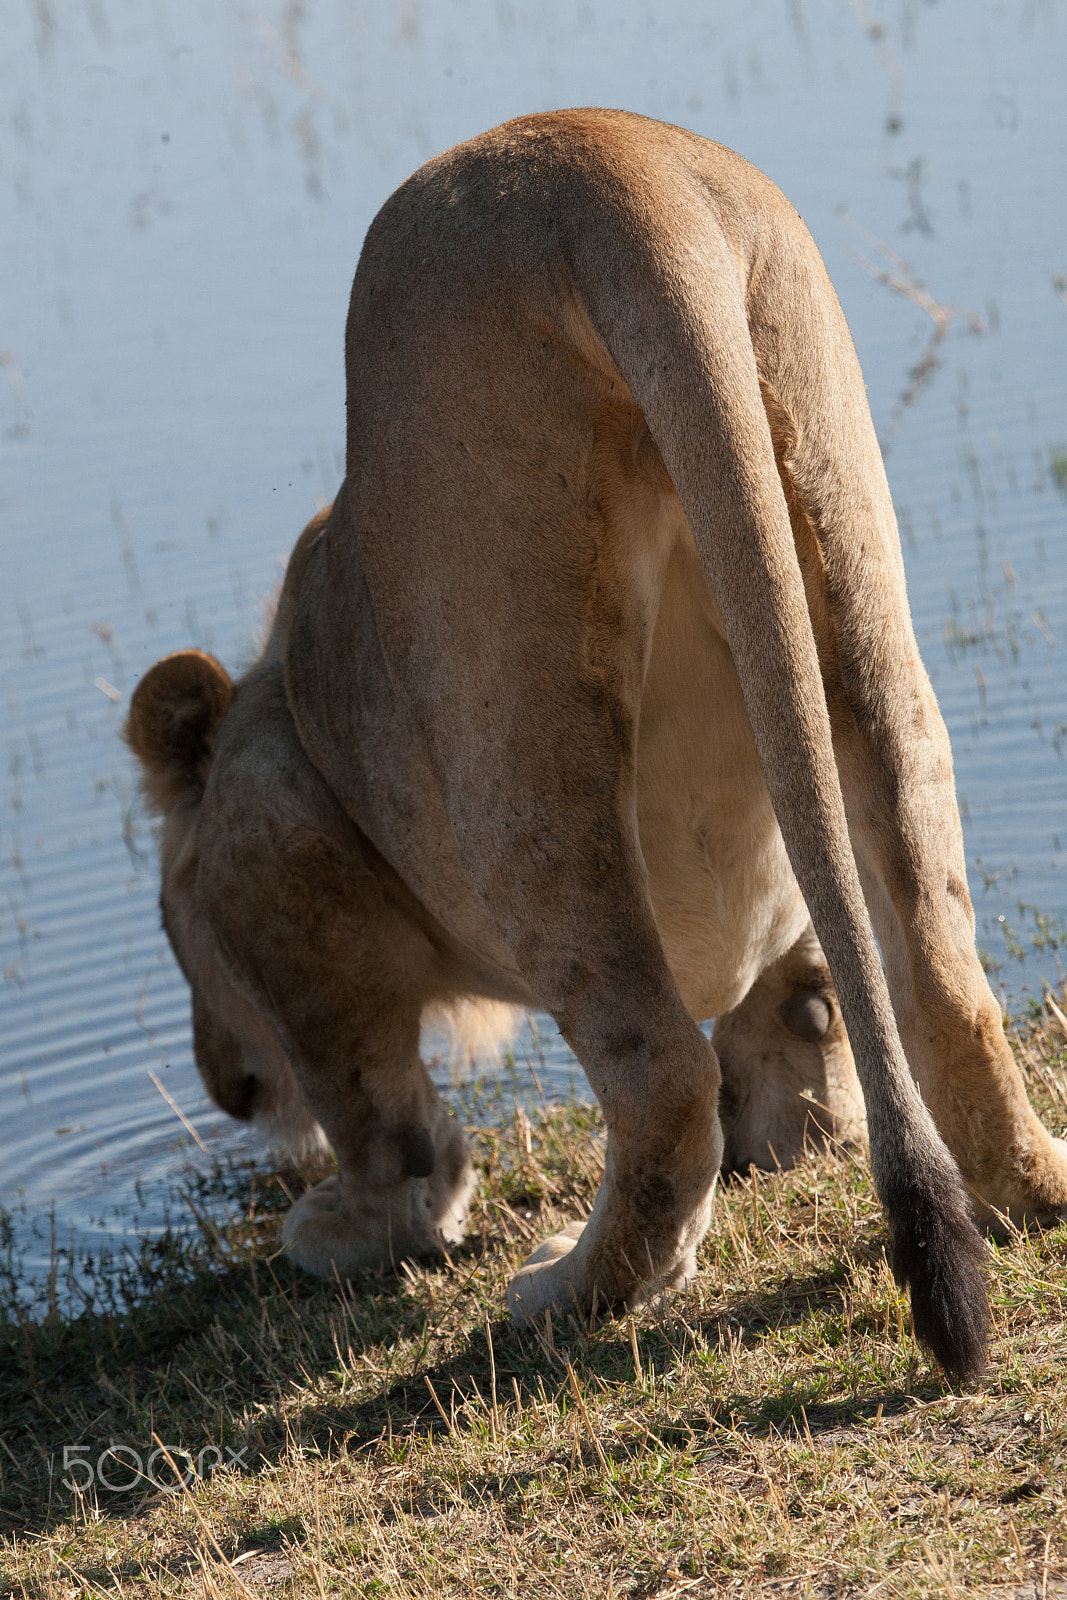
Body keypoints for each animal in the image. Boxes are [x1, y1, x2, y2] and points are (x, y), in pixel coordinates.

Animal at [125, 109, 1067, 1382]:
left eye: (178, 936)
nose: (225, 1090)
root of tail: (615, 172)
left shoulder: (280, 848)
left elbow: (372, 1100)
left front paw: (359, 1223)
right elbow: (809, 993)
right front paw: (796, 1110)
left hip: (506, 714)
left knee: (658, 1069)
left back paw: (572, 1289)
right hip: (841, 551)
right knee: (942, 982)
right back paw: (1030, 1187)